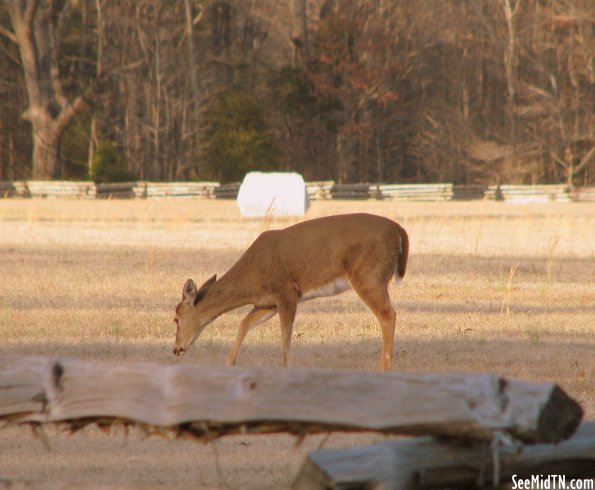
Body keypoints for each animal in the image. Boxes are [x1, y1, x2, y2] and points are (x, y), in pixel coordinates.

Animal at [172, 212, 410, 370]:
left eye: (176, 318)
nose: (176, 349)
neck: (251, 279)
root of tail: (400, 231)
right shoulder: (267, 302)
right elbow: (245, 323)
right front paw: (229, 363)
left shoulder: (285, 290)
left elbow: (285, 334)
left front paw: (285, 370)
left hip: (368, 276)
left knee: (388, 315)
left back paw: (384, 370)